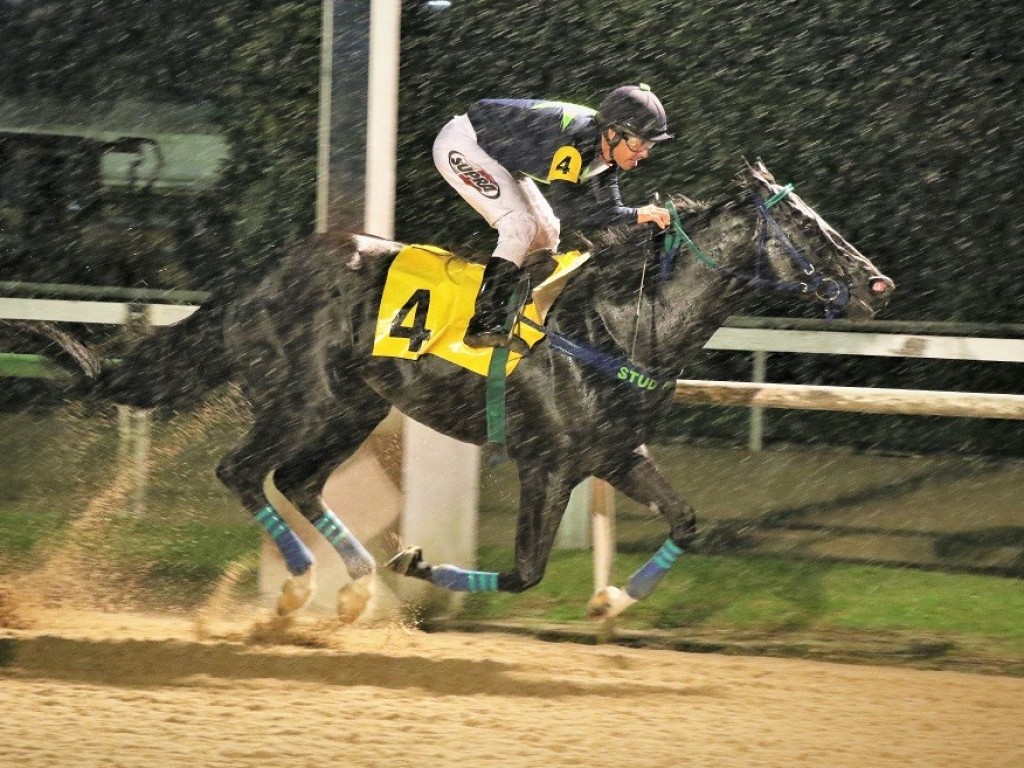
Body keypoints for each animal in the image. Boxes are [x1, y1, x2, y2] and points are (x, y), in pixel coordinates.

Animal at [44, 162, 892, 626]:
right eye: (810, 231)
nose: (877, 285)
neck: (624, 320)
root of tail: (259, 275)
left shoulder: (616, 455)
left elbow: (686, 520)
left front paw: (611, 603)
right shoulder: (549, 463)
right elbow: (523, 573)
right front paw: (419, 564)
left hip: (356, 406)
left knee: (298, 479)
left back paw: (352, 587)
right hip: (302, 400)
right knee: (243, 471)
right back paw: (302, 588)